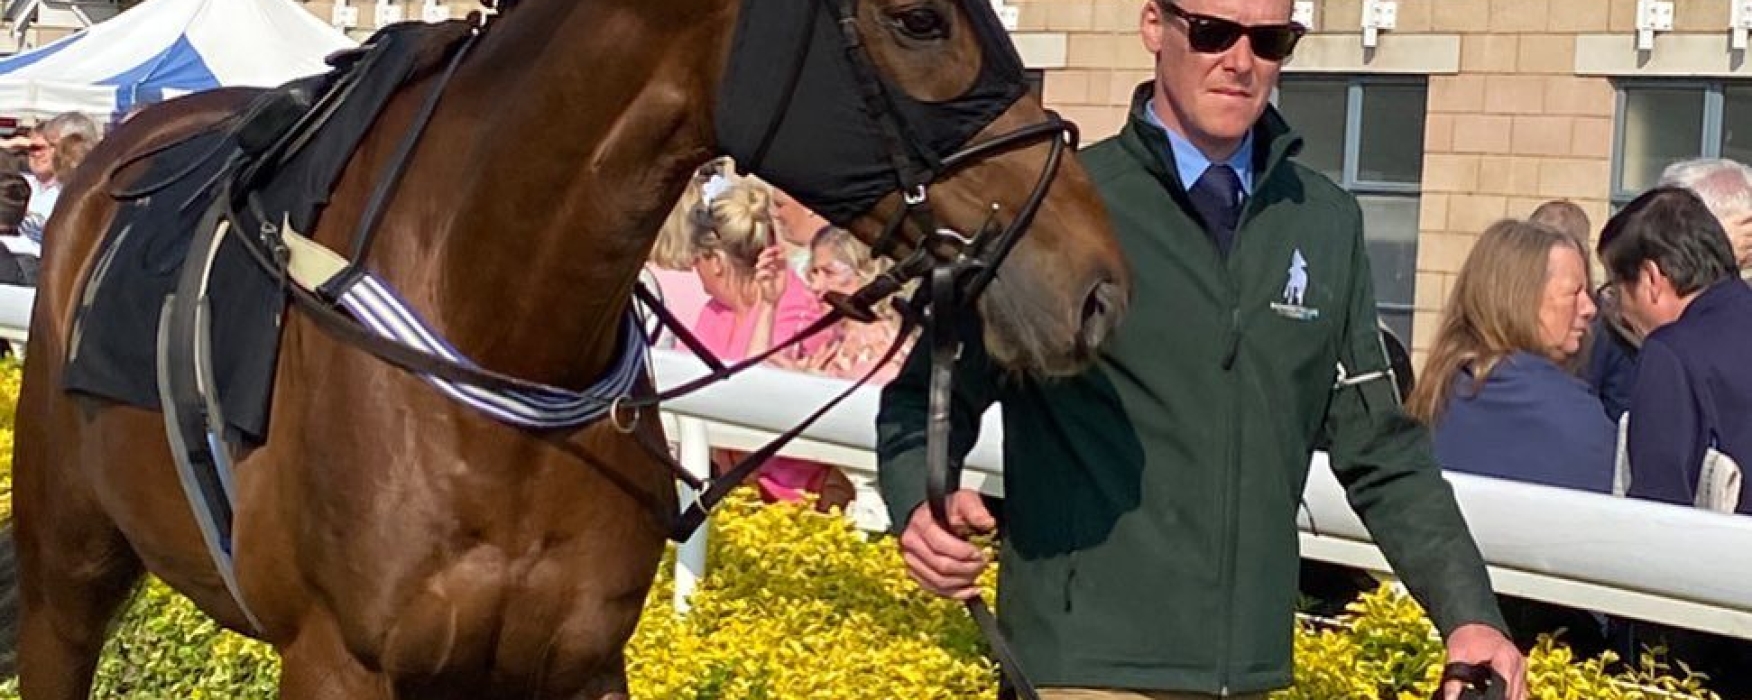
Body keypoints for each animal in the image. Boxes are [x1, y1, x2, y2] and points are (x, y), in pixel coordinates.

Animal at [4, 0, 1131, 696]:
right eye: (917, 18)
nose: (1098, 286)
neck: (502, 332)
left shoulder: (573, 658)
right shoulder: (337, 659)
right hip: (68, 575)